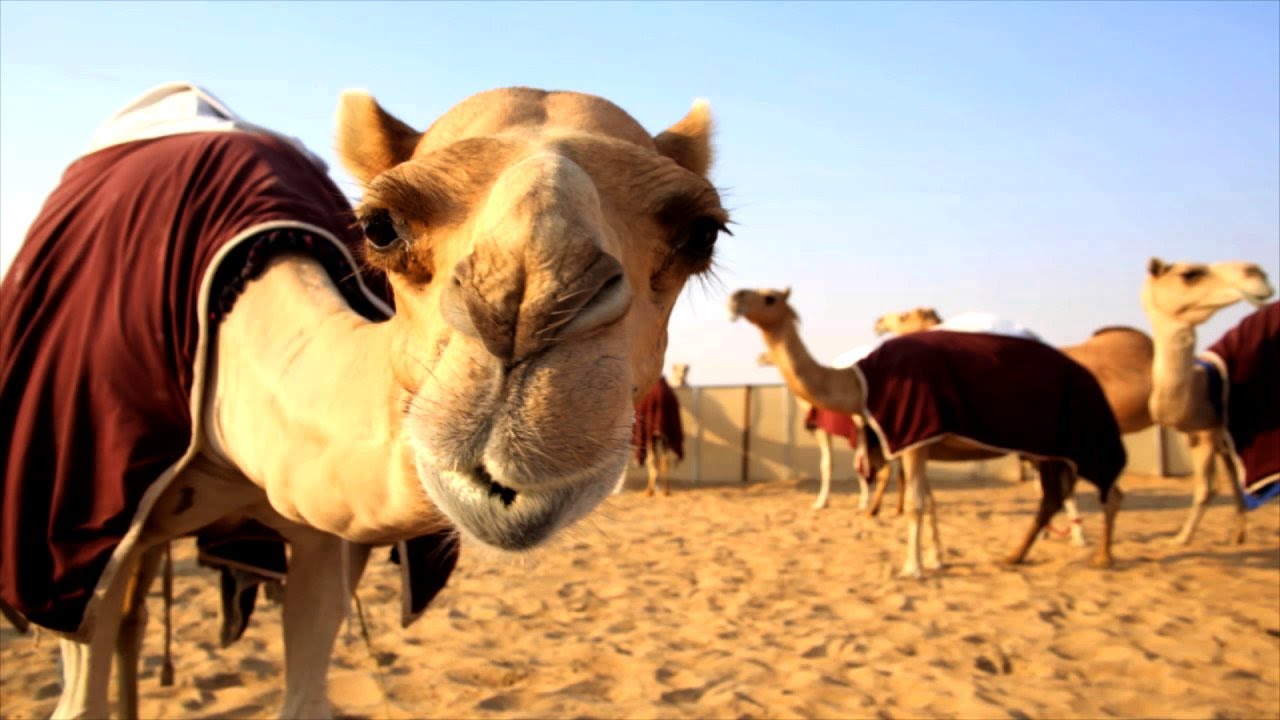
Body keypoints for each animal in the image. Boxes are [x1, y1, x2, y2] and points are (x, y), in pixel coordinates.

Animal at [0, 83, 728, 719]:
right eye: (380, 227)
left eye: (702, 235)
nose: (522, 306)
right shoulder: (73, 549)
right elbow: (78, 699)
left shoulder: (323, 538)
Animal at [729, 288, 1124, 578]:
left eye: (770, 297)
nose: (734, 297)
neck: (859, 382)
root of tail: (1090, 378)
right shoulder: (916, 440)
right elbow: (928, 500)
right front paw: (935, 558)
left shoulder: (910, 435)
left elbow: (914, 503)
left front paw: (912, 567)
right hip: (1050, 447)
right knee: (1055, 496)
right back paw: (1016, 555)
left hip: (1079, 435)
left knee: (1103, 488)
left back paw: (1101, 556)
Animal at [1141, 258, 1277, 545]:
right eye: (1190, 274)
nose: (1257, 272)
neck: (1200, 388)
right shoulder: (1211, 435)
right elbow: (1231, 483)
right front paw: (1237, 537)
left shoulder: (1208, 433)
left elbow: (1207, 488)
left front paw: (1180, 539)